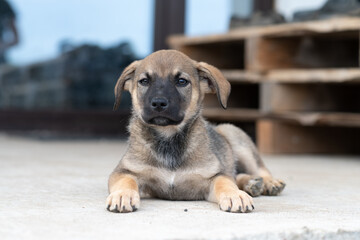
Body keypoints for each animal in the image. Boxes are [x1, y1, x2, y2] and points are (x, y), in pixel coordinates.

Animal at [105, 50, 286, 214]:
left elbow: (225, 182)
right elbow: (126, 181)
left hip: (236, 138)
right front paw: (122, 195)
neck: (169, 139)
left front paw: (235, 195)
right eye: (144, 81)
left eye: (181, 81)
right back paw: (252, 183)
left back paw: (267, 183)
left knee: (256, 169)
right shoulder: (124, 171)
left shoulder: (214, 176)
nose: (158, 103)